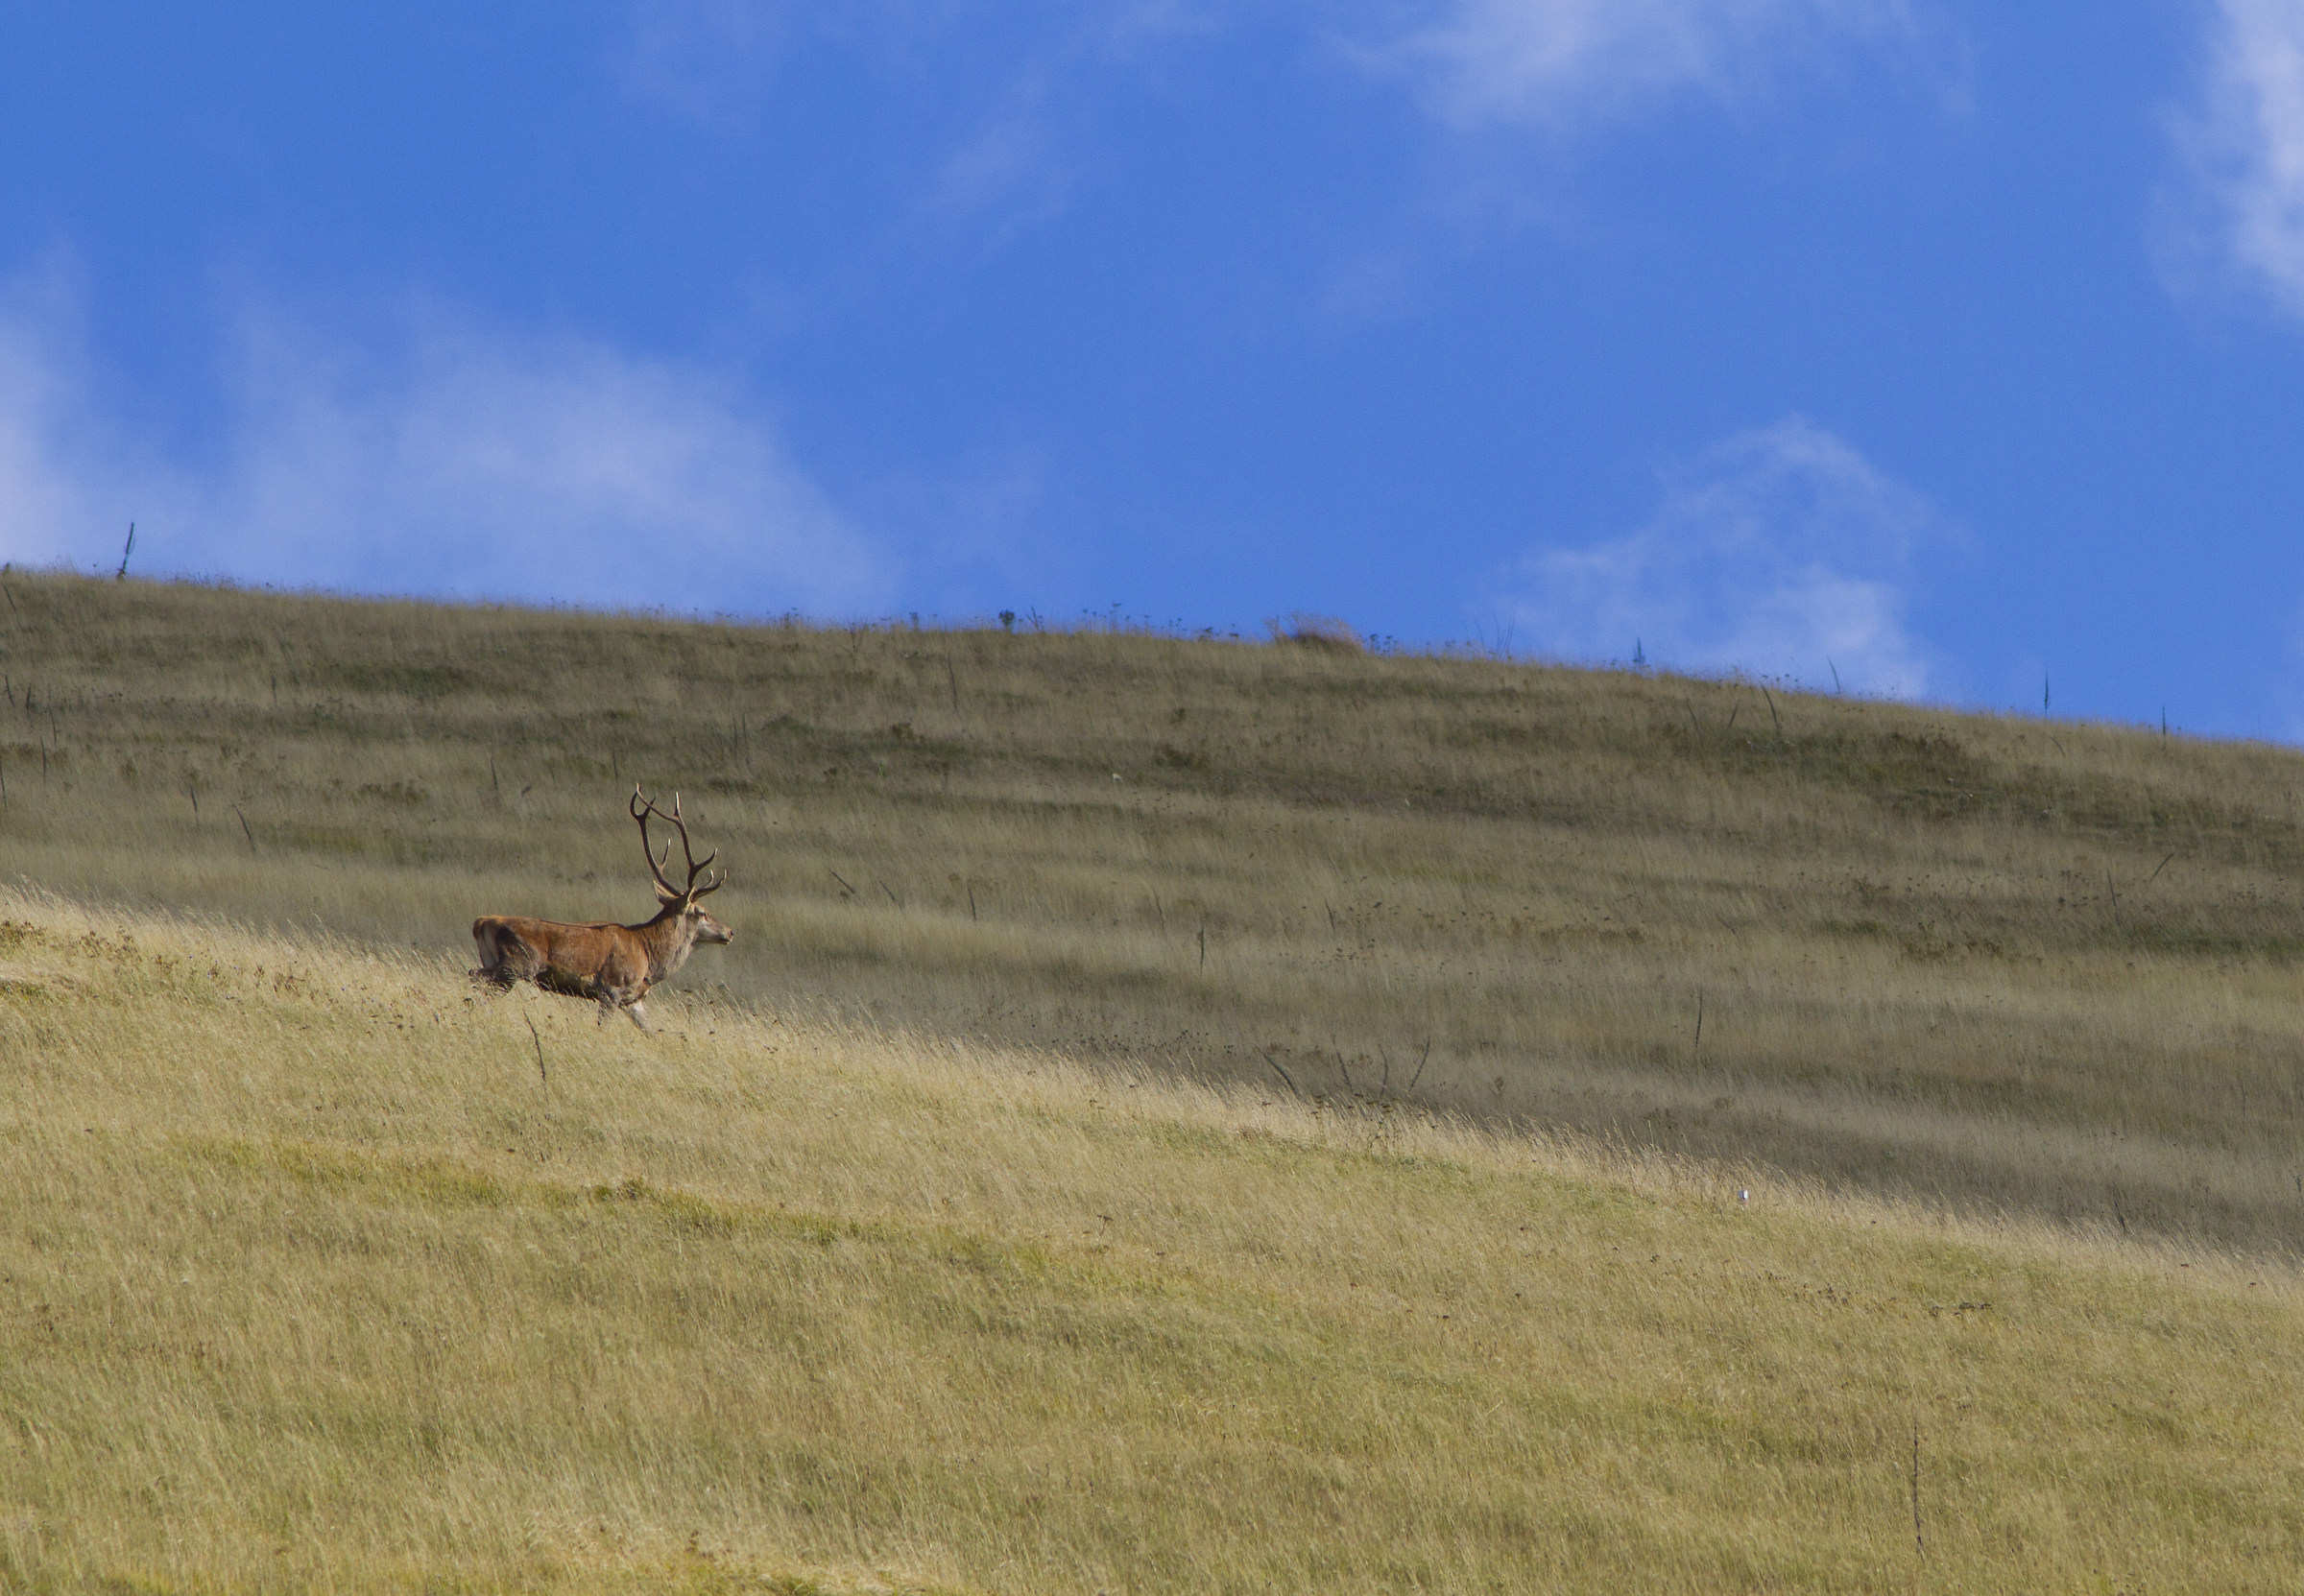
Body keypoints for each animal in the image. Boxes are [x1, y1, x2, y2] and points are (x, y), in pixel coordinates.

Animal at [470, 786, 732, 1030]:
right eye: (702, 912)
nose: (729, 932)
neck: (648, 957)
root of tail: (482, 921)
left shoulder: (633, 1000)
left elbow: (650, 1030)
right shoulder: (612, 988)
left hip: (495, 961)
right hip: (518, 963)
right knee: (475, 975)